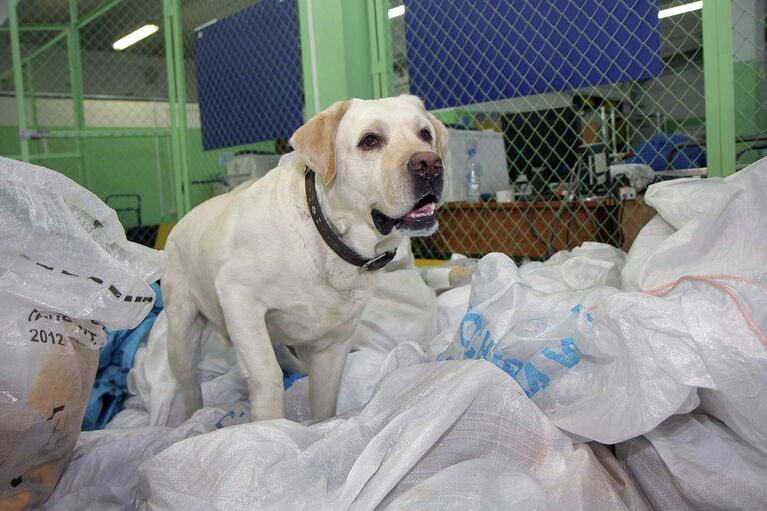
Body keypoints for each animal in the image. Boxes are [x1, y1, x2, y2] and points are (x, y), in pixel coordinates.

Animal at [163, 95, 450, 420]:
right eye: (370, 140)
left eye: (425, 134)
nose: (429, 164)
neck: (325, 235)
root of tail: (179, 224)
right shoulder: (238, 295)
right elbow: (268, 376)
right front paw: (268, 425)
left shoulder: (334, 346)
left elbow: (325, 401)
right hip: (182, 333)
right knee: (190, 384)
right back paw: (191, 418)